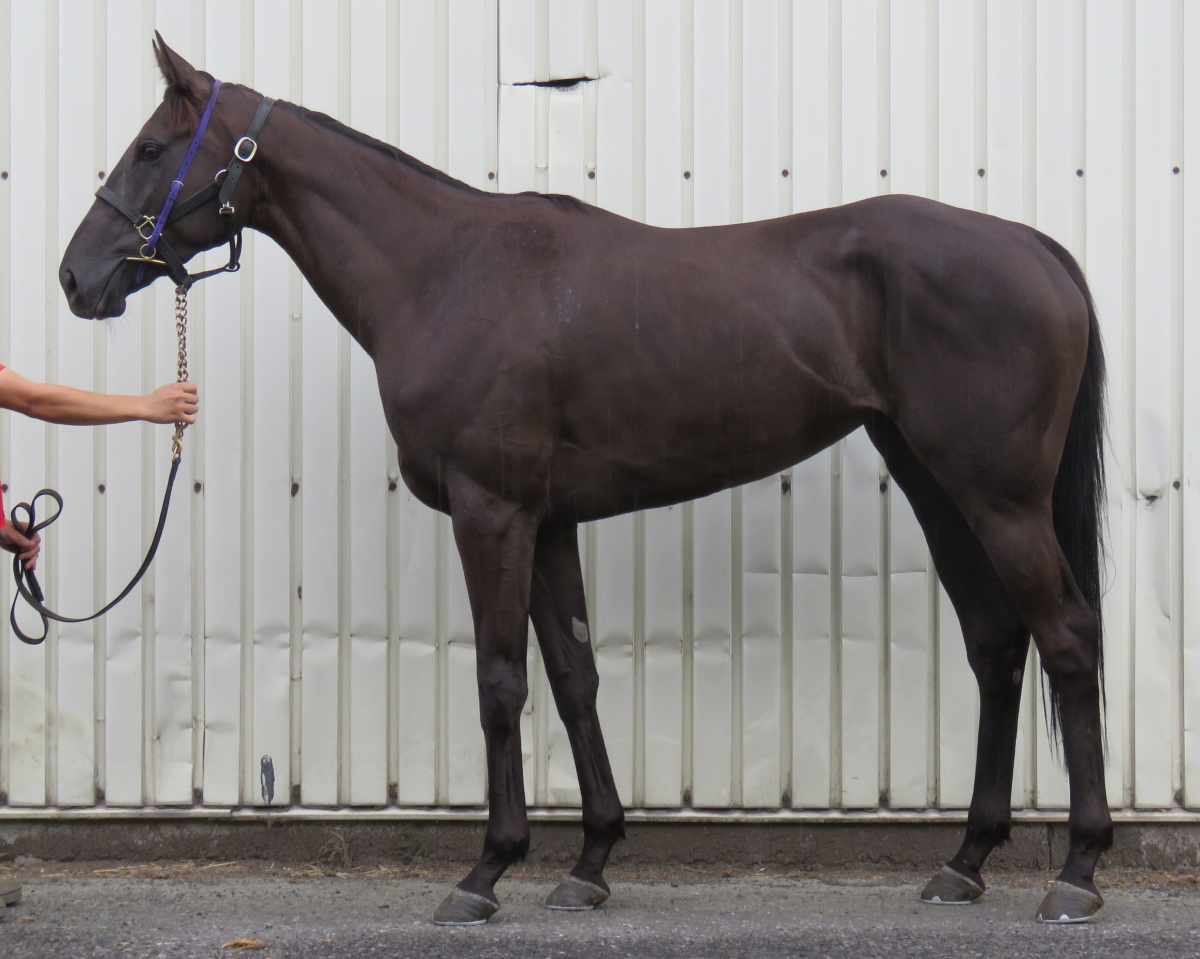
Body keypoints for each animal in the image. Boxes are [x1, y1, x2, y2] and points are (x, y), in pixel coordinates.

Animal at [59, 35, 1110, 926]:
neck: (446, 270)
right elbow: (573, 675)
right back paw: (965, 861)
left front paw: (485, 871)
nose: (77, 277)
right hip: (939, 487)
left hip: (999, 498)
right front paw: (590, 860)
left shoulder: (491, 510)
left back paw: (1077, 871)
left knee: (1065, 638)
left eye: (152, 148)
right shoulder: (549, 519)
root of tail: (1041, 250)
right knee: (996, 645)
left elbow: (500, 679)